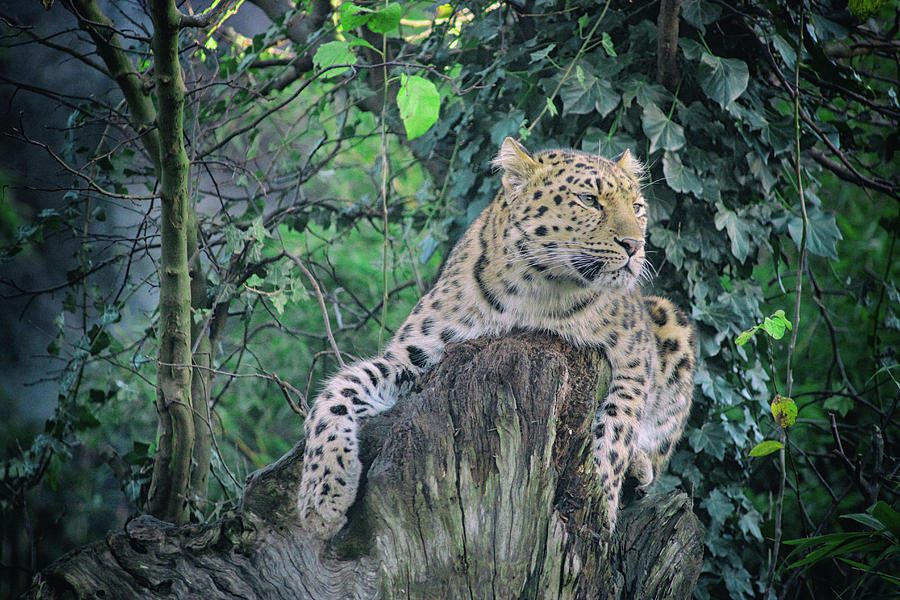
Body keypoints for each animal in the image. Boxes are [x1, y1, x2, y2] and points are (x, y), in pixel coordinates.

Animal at [298, 137, 696, 540]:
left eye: (638, 208)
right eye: (589, 199)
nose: (634, 245)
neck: (539, 291)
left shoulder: (635, 357)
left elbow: (619, 427)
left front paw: (601, 502)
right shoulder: (413, 355)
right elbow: (336, 393)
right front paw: (321, 498)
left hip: (671, 319)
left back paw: (639, 466)